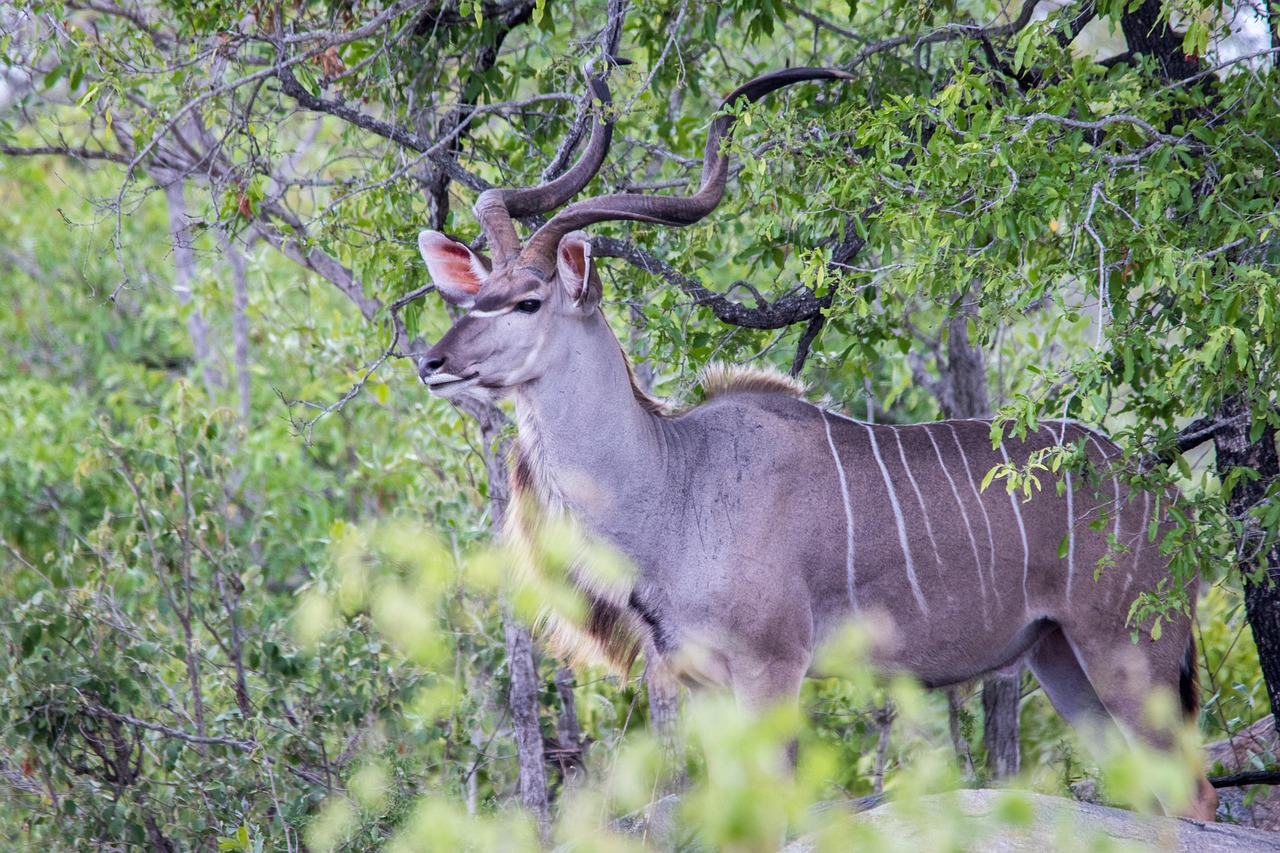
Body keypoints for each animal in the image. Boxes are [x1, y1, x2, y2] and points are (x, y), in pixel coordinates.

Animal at [414, 68, 1213, 819]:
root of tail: (1174, 504)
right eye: (473, 295)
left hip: (1128, 654)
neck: (677, 479)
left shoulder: (773, 666)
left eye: (528, 301)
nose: (432, 361)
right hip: (1060, 655)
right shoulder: (705, 682)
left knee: (1196, 793)